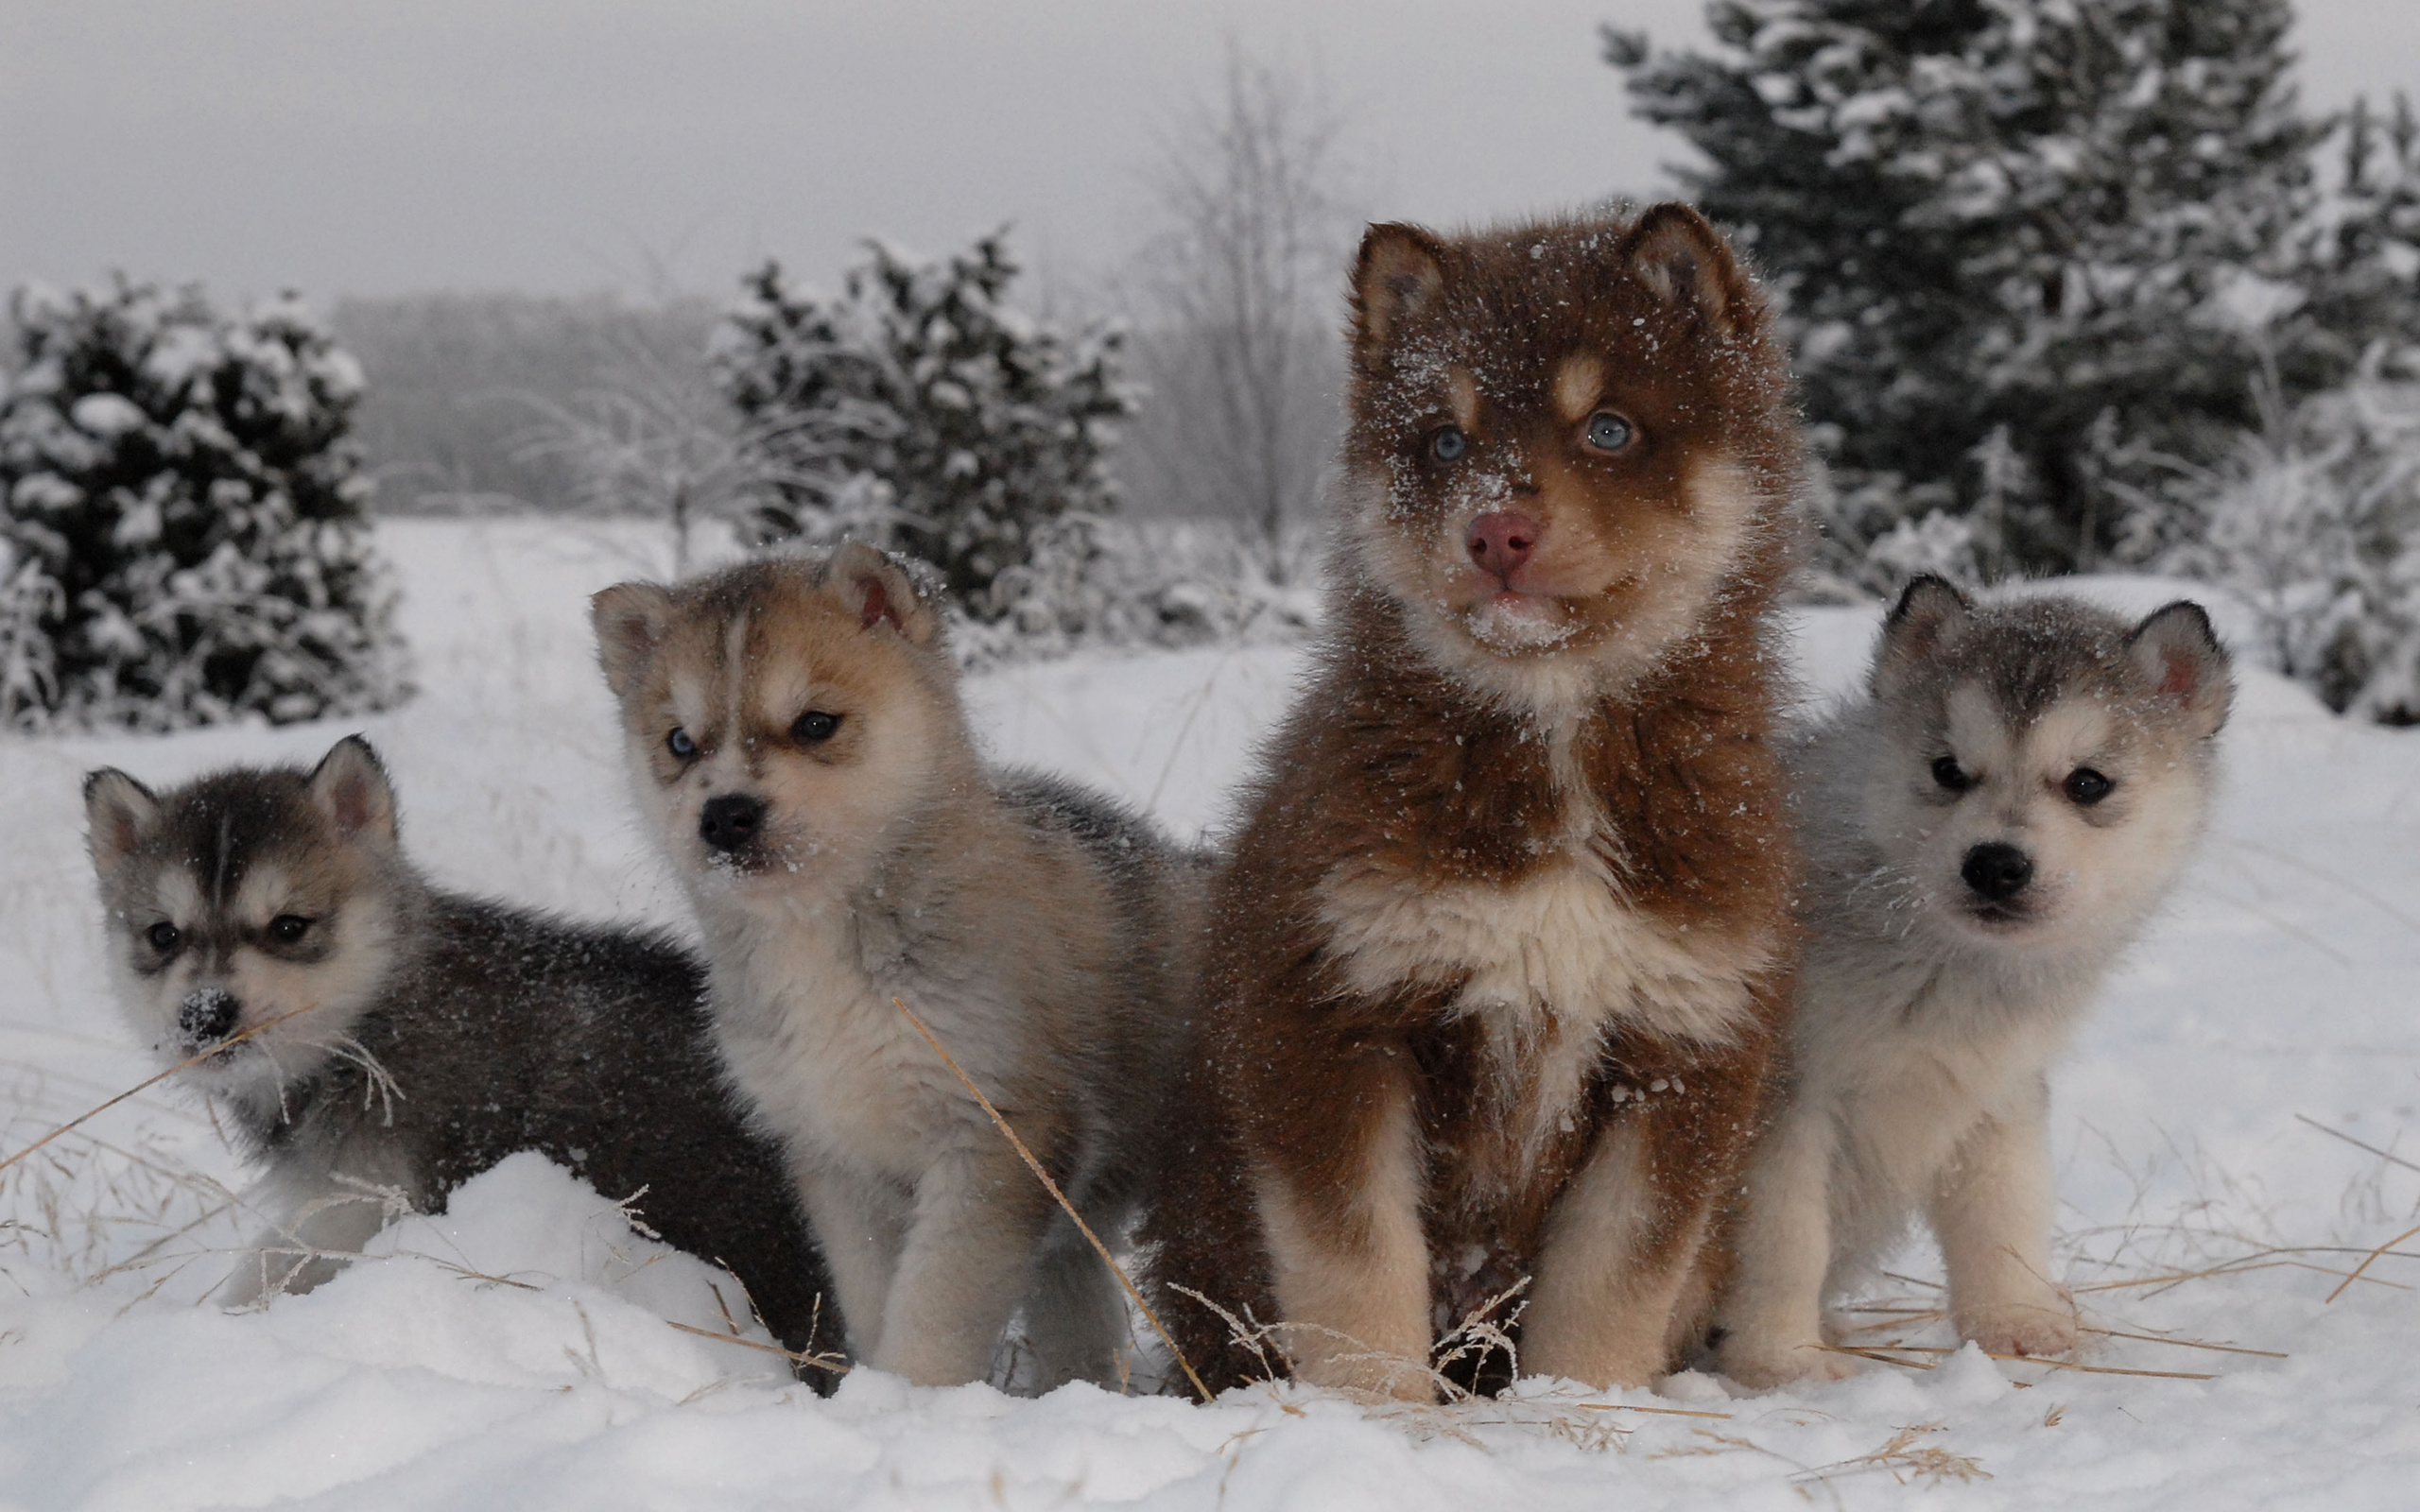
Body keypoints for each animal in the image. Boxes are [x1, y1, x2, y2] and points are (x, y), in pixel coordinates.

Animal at [585, 544, 1190, 1393]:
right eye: (680, 742)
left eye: (815, 723)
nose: (725, 816)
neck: (819, 937)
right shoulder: (837, 1156)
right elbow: (874, 1299)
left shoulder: (995, 1136)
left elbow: (935, 1308)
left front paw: (910, 1402)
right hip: (1076, 1238)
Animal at [1142, 206, 1809, 1393]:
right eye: (1446, 444)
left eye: (1607, 430)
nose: (1495, 532)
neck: (1555, 733)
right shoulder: (1330, 1007)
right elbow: (1358, 1266)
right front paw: (1378, 1414)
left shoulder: (1682, 1044)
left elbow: (1616, 1275)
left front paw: (1579, 1407)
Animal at [1713, 577, 2236, 1393]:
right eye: (1948, 771)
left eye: (2089, 783)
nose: (1995, 864)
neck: (1944, 972)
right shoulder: (1786, 1103)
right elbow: (1786, 1240)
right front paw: (1782, 1358)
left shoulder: (1996, 1091)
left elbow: (2005, 1210)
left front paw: (2015, 1320)